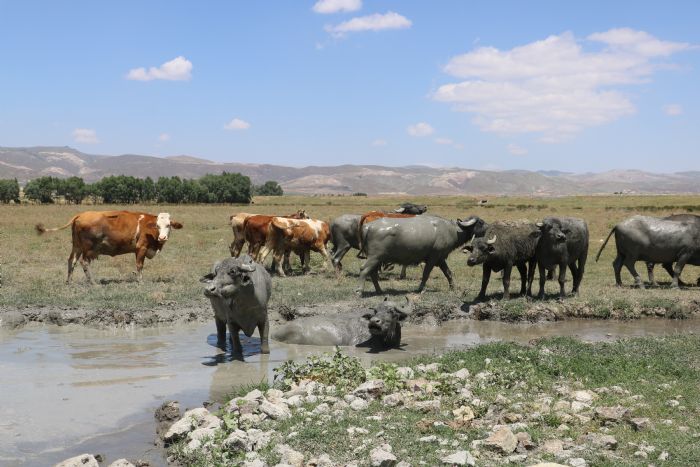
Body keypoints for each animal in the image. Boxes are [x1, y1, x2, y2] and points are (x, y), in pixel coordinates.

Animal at [36, 212, 183, 286]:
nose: (163, 237)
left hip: (77, 246)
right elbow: (139, 265)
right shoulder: (141, 248)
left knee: (71, 261)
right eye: (157, 226)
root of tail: (81, 214)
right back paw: (92, 282)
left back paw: (69, 281)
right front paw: (140, 281)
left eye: (169, 225)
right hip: (88, 248)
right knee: (84, 262)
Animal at [356, 214, 486, 294]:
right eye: (481, 222)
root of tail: (368, 226)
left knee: (372, 273)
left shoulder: (440, 259)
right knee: (363, 269)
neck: (452, 230)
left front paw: (453, 287)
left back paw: (379, 291)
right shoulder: (433, 258)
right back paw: (359, 291)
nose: (489, 228)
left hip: (377, 259)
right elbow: (426, 274)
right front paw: (420, 289)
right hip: (375, 257)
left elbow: (448, 273)